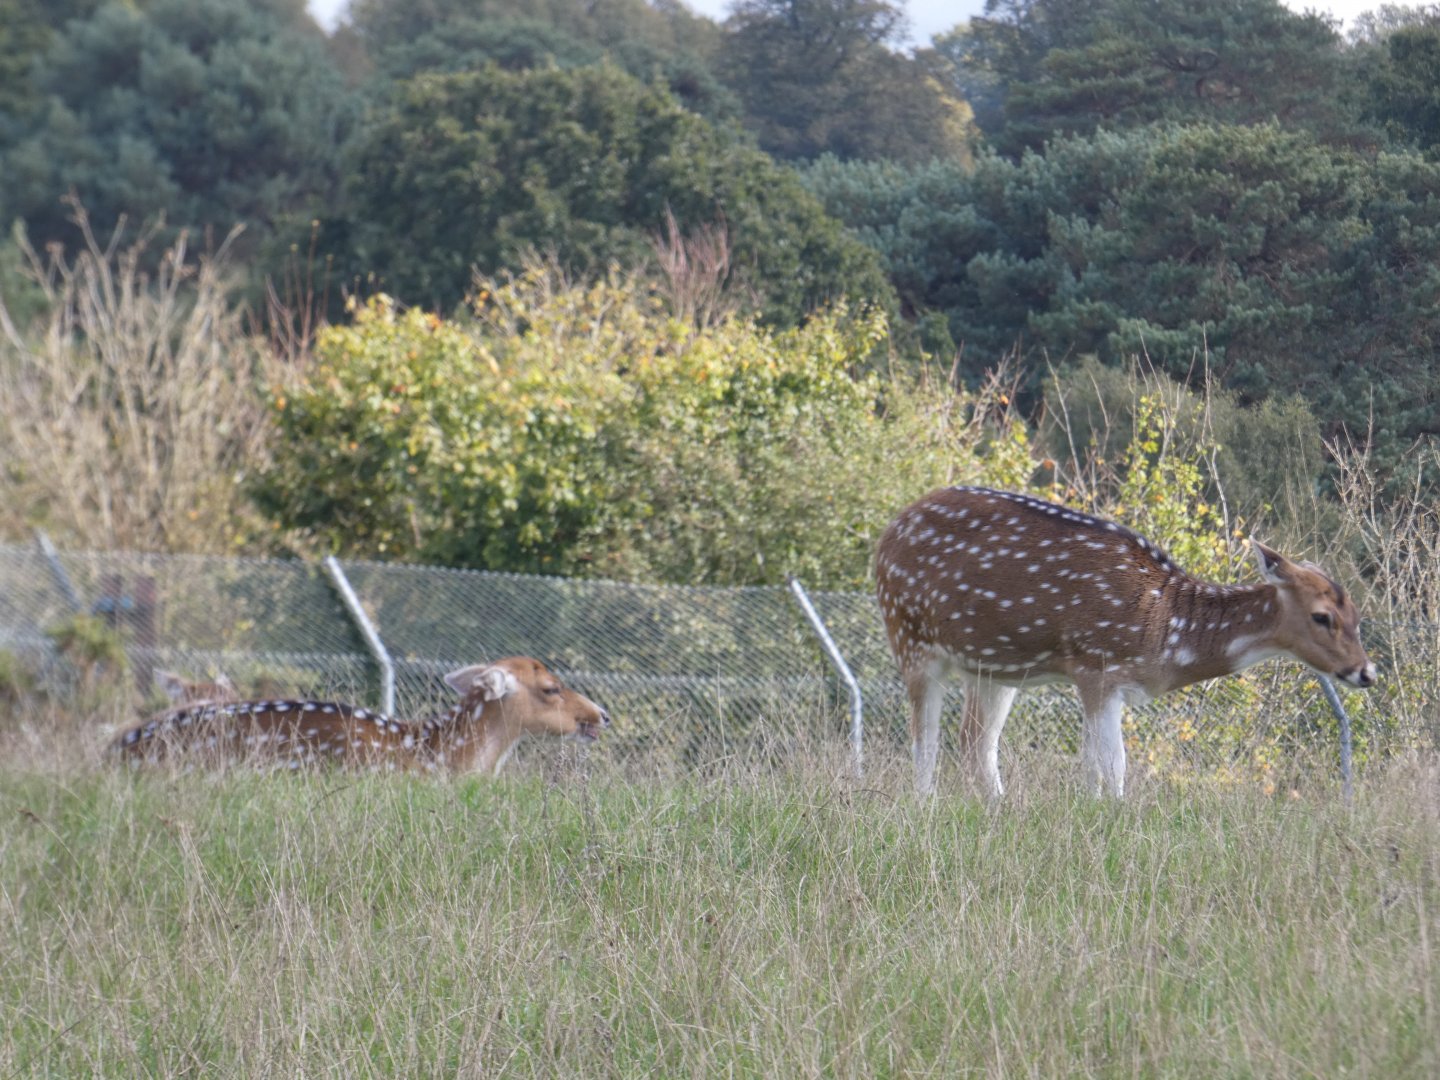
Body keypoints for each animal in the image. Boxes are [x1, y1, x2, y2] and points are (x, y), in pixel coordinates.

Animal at [876, 486, 1376, 798]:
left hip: (993, 667)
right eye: (1322, 616)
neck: (1165, 637)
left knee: (976, 741)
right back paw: (925, 804)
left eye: (1357, 616)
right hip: (909, 634)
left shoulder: (1102, 678)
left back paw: (997, 807)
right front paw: (1113, 816)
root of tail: (889, 531)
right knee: (925, 738)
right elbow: (1113, 765)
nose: (1366, 671)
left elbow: (1093, 765)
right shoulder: (1096, 664)